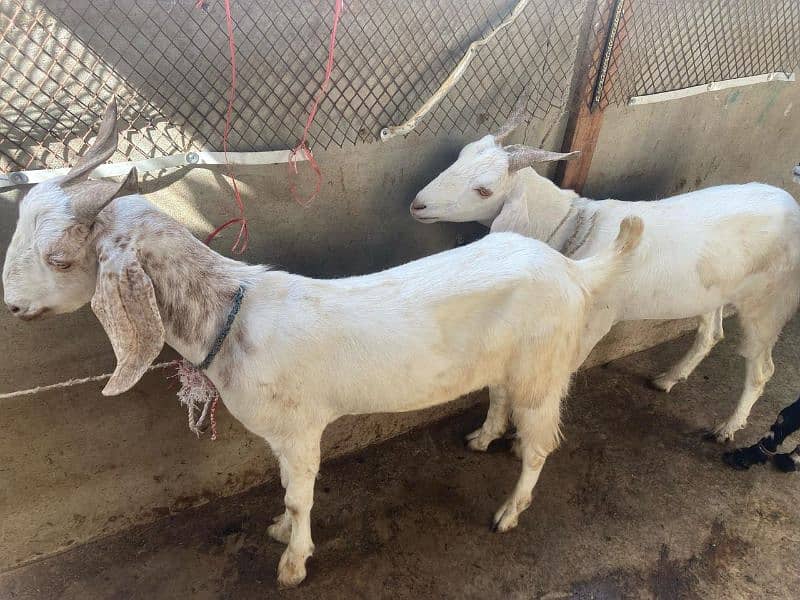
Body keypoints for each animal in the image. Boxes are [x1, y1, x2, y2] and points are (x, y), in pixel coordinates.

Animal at [3, 99, 643, 587]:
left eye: (60, 257)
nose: (12, 306)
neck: (232, 311)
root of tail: (573, 270)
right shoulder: (280, 436)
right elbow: (288, 490)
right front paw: (283, 534)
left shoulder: (300, 428)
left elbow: (299, 495)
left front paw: (293, 561)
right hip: (511, 365)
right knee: (501, 398)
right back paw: (485, 437)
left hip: (544, 369)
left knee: (540, 445)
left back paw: (509, 512)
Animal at [411, 109, 800, 445]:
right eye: (460, 155)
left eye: (484, 190)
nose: (418, 204)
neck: (574, 226)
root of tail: (792, 205)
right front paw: (488, 434)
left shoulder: (590, 324)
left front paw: (505, 437)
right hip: (713, 291)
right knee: (712, 333)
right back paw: (668, 379)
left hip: (768, 303)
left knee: (762, 368)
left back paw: (727, 428)